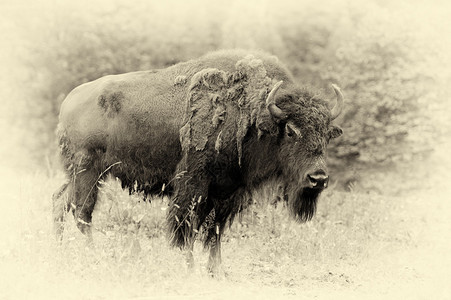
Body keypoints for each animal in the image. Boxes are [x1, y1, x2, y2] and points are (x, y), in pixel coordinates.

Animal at [52, 49, 342, 274]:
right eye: (291, 131)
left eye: (327, 134)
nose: (318, 179)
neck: (252, 116)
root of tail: (68, 101)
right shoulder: (194, 185)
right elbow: (186, 228)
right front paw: (189, 268)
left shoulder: (227, 191)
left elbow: (215, 231)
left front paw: (217, 272)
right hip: (88, 171)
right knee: (82, 212)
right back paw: (93, 256)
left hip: (81, 174)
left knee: (60, 202)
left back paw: (58, 248)